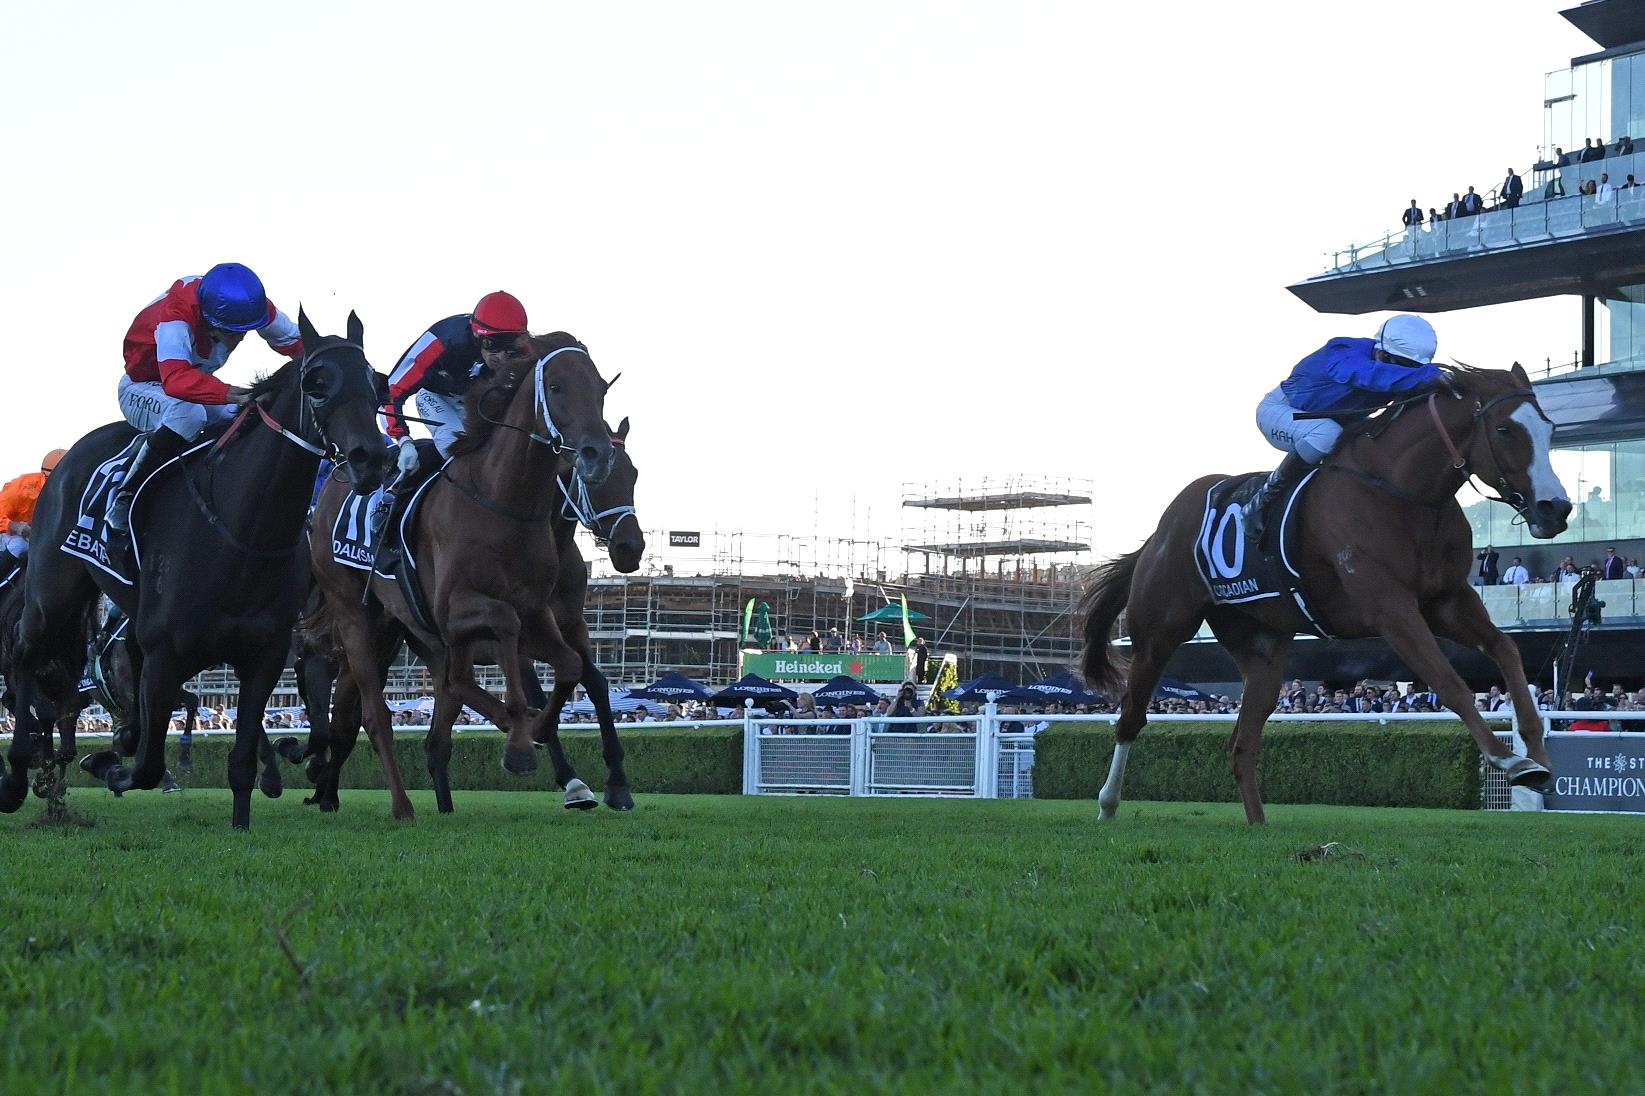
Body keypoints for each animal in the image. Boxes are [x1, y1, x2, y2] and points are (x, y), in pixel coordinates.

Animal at [11, 307, 388, 819]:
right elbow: (147, 764)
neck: (243, 534)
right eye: (317, 382)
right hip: (52, 595)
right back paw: (18, 771)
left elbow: (242, 763)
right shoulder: (165, 655)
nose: (372, 458)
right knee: (23, 653)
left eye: (375, 381)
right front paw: (107, 765)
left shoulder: (265, 657)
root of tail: (64, 463)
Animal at [309, 329, 618, 816]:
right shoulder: (456, 609)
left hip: (404, 631)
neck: (502, 502)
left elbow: (569, 665)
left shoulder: (537, 612)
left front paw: (536, 731)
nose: (597, 455)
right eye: (555, 387)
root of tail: (337, 480)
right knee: (375, 715)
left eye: (602, 389)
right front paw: (520, 742)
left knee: (437, 688)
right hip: (357, 617)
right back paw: (401, 805)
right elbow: (505, 629)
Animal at [1085, 365, 1572, 819]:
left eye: (1549, 428)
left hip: (1261, 649)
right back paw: (1107, 804)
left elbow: (1507, 651)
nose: (1556, 508)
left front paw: (1537, 758)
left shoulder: (1447, 600)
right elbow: (1450, 682)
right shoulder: (1390, 607)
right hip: (1159, 633)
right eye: (1505, 430)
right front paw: (1508, 760)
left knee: (1243, 745)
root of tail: (1158, 534)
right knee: (1131, 717)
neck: (1402, 493)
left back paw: (1258, 826)